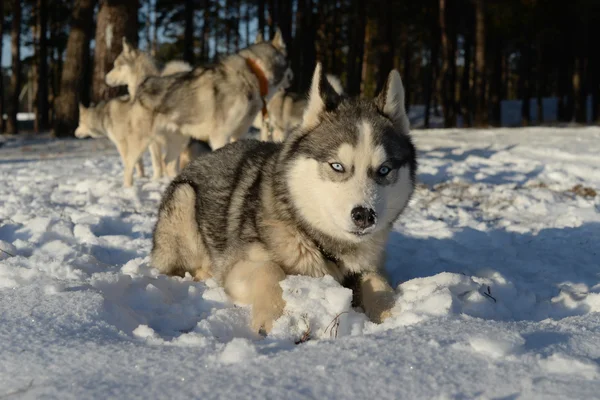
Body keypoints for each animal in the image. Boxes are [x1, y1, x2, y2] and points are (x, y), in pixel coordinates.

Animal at [150, 64, 418, 334]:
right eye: (337, 166)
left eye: (384, 170)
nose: (364, 215)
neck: (317, 241)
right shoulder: (237, 266)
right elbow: (270, 270)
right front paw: (272, 320)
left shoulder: (370, 266)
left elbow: (378, 283)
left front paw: (392, 315)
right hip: (184, 198)